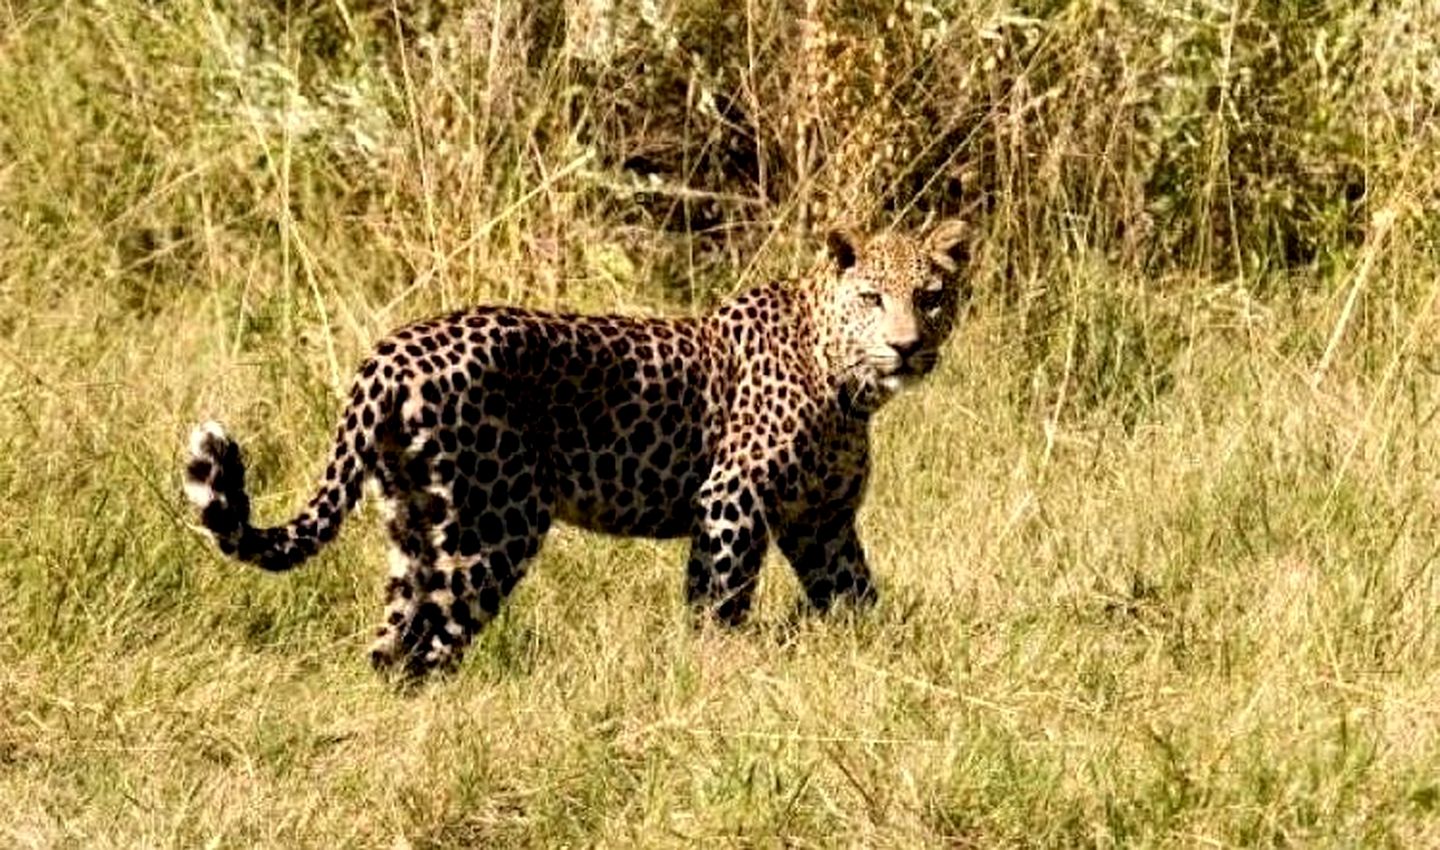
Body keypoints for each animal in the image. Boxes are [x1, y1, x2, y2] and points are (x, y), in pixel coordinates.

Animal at [182, 221, 967, 680]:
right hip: (497, 523)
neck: (848, 386)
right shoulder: (732, 502)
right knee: (434, 642)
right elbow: (718, 599)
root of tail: (391, 349)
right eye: (872, 298)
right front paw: (713, 671)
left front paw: (881, 661)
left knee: (391, 644)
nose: (907, 346)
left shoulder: (822, 523)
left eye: (931, 296)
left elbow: (857, 598)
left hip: (413, 522)